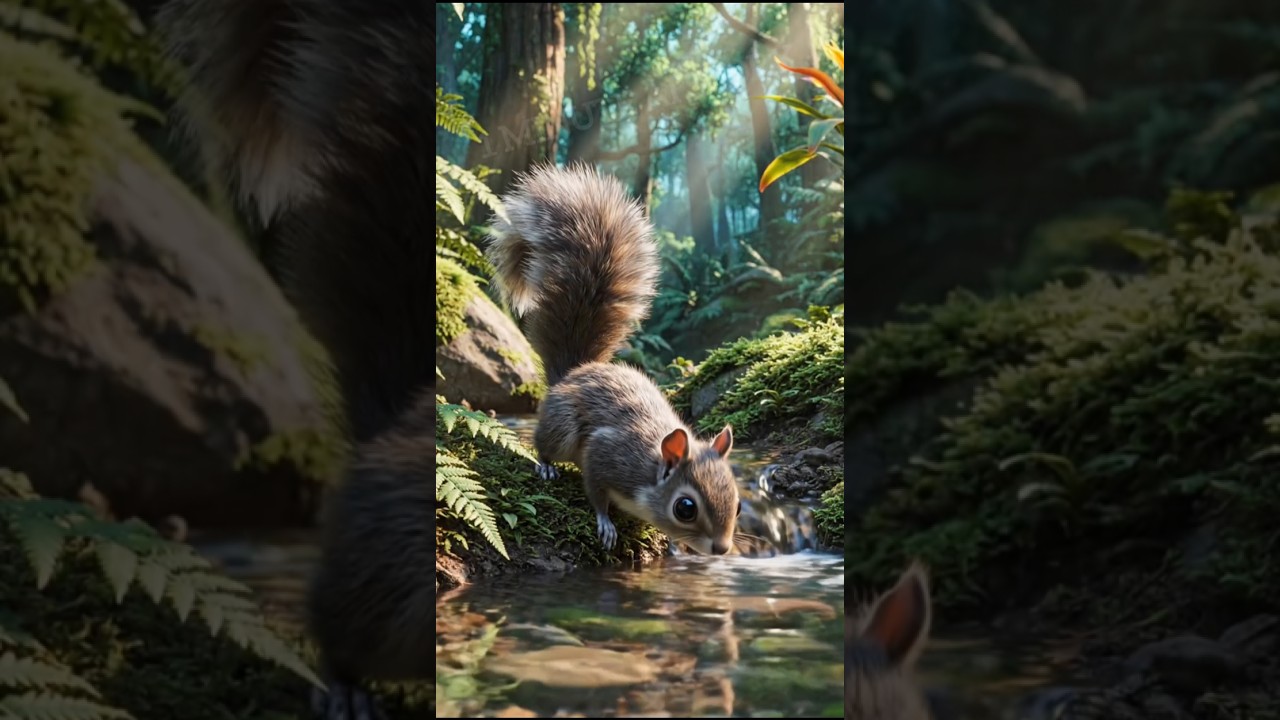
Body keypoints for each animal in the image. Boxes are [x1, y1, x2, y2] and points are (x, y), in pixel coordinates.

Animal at [485, 164, 742, 556]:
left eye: (739, 501)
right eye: (685, 508)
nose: (723, 549)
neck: (651, 470)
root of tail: (574, 371)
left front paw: (673, 545)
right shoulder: (606, 455)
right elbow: (595, 492)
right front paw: (605, 522)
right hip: (562, 426)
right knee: (544, 444)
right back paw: (546, 466)